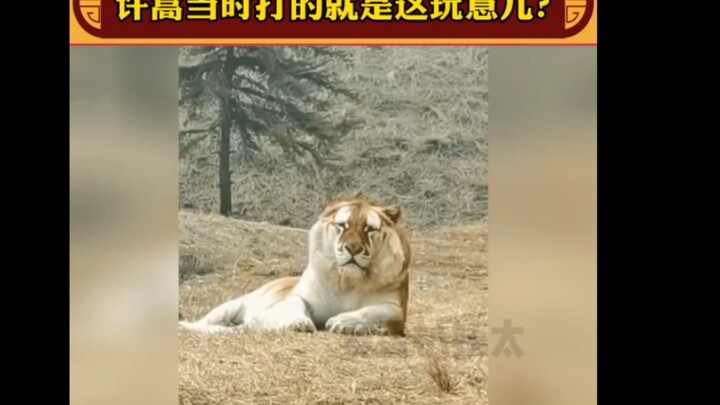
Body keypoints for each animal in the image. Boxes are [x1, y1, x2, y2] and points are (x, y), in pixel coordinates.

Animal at [178, 195, 412, 336]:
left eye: (369, 229)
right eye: (342, 225)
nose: (352, 248)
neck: (346, 281)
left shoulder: (395, 308)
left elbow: (375, 313)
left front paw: (342, 322)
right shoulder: (299, 297)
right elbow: (294, 304)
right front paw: (299, 323)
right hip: (230, 306)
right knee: (203, 323)